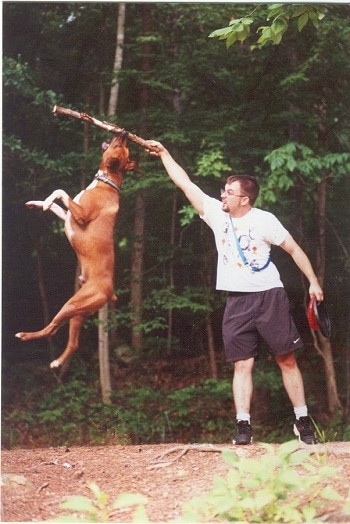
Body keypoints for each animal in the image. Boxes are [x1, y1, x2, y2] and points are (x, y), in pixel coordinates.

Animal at [15, 131, 138, 368]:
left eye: (121, 146)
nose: (124, 132)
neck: (106, 183)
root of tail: (110, 293)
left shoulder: (80, 215)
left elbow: (60, 192)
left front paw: (44, 202)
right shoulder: (69, 217)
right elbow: (56, 203)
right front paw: (38, 203)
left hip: (72, 305)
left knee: (52, 329)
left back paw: (26, 336)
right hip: (79, 313)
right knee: (73, 343)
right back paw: (57, 362)